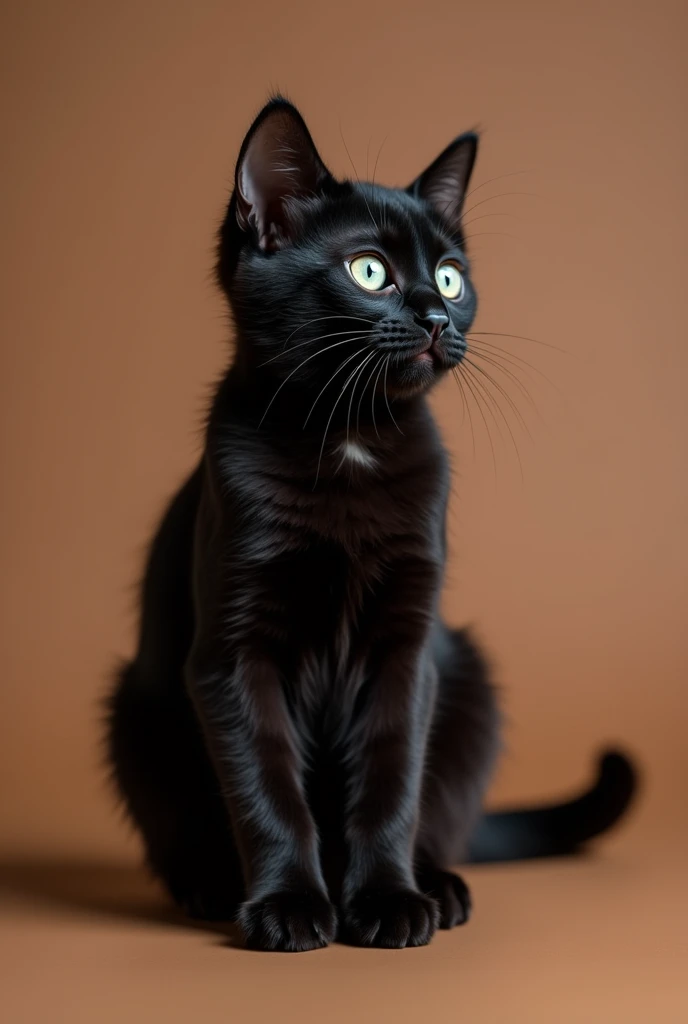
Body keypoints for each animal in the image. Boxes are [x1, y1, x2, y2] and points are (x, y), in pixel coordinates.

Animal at [104, 97, 638, 950]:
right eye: (369, 271)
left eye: (451, 277)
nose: (435, 314)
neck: (352, 441)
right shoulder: (231, 655)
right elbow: (268, 789)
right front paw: (289, 905)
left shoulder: (407, 650)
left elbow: (391, 781)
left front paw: (388, 900)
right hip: (136, 710)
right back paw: (212, 887)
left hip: (469, 681)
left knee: (437, 811)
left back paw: (439, 885)